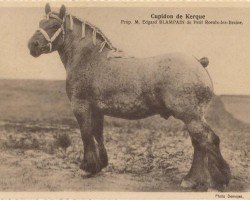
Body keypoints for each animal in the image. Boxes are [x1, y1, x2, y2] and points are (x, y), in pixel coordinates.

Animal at [27, 3, 230, 190]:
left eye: (54, 25)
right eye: (40, 23)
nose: (32, 45)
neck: (89, 58)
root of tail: (199, 63)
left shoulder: (81, 107)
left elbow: (86, 134)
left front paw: (87, 168)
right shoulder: (97, 109)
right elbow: (97, 134)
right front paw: (100, 165)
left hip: (191, 116)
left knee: (208, 140)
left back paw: (220, 179)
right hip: (193, 117)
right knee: (199, 143)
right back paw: (192, 179)